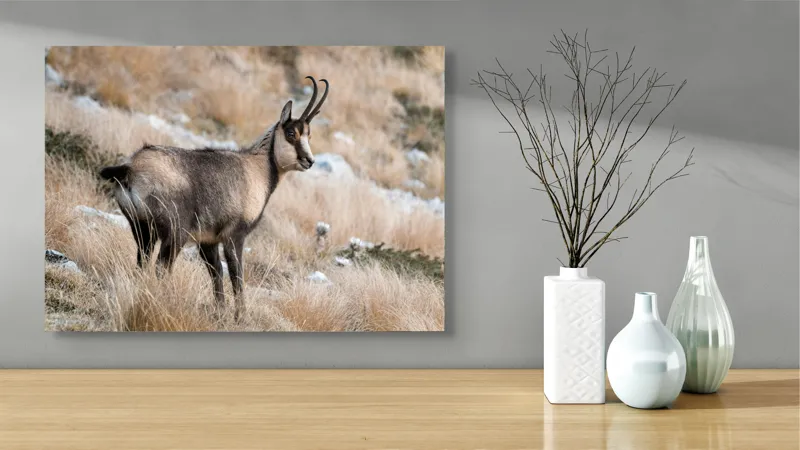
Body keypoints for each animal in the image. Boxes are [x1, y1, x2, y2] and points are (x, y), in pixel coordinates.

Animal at [99, 76, 329, 321]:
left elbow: (216, 271)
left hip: (141, 228)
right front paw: (241, 316)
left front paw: (221, 311)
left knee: (143, 262)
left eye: (309, 135)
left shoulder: (208, 240)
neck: (259, 169)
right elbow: (236, 275)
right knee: (162, 267)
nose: (309, 161)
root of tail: (130, 168)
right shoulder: (234, 235)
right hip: (174, 233)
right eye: (291, 133)